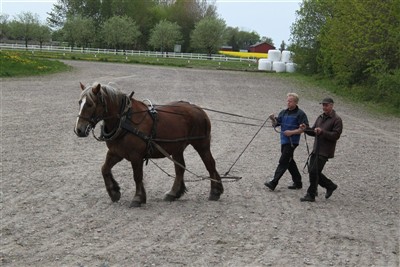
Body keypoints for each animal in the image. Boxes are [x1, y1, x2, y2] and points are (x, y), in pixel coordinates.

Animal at [74, 82, 223, 208]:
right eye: (80, 102)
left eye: (90, 104)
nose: (79, 130)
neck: (125, 120)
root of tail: (198, 109)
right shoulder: (116, 153)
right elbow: (104, 169)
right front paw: (114, 191)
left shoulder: (136, 156)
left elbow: (137, 176)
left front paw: (138, 198)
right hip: (177, 147)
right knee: (180, 169)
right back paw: (174, 193)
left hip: (201, 144)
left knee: (210, 164)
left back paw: (215, 191)